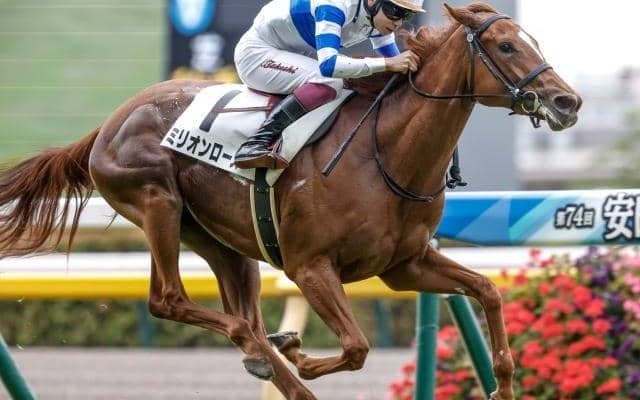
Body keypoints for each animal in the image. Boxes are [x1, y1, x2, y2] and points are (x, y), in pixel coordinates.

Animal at [0, 3, 580, 399]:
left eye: (529, 40)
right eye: (505, 46)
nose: (566, 101)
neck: (386, 152)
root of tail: (110, 122)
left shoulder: (405, 265)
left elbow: (488, 290)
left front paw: (505, 383)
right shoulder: (310, 266)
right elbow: (356, 346)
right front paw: (299, 351)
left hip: (222, 242)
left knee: (241, 314)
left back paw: (268, 356)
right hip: (157, 204)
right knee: (172, 301)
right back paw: (266, 349)